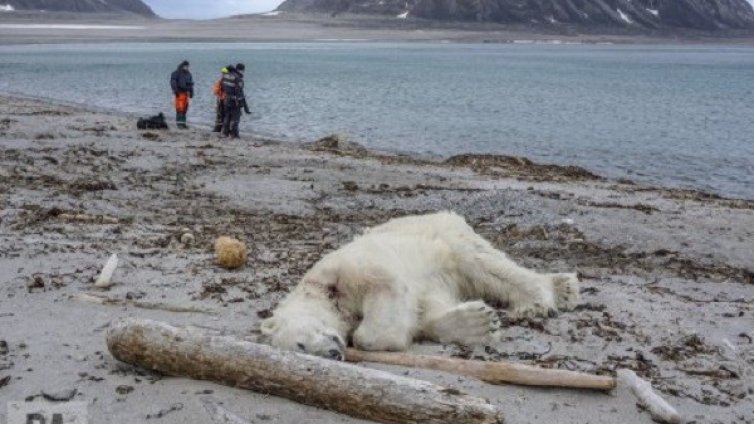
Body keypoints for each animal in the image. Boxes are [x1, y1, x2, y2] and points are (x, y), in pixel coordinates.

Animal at [262, 210, 580, 360]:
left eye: (301, 343)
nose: (333, 353)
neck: (323, 290)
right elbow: (425, 311)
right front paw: (478, 323)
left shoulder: (349, 268)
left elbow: (384, 293)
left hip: (447, 237)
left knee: (486, 265)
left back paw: (543, 298)